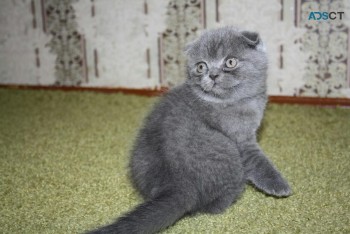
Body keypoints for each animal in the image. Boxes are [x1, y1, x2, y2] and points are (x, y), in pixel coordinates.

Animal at [89, 26, 292, 233]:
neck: (233, 100)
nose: (212, 75)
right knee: (212, 206)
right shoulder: (242, 140)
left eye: (230, 62)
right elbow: (259, 162)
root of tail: (177, 185)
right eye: (201, 66)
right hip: (229, 154)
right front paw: (280, 186)